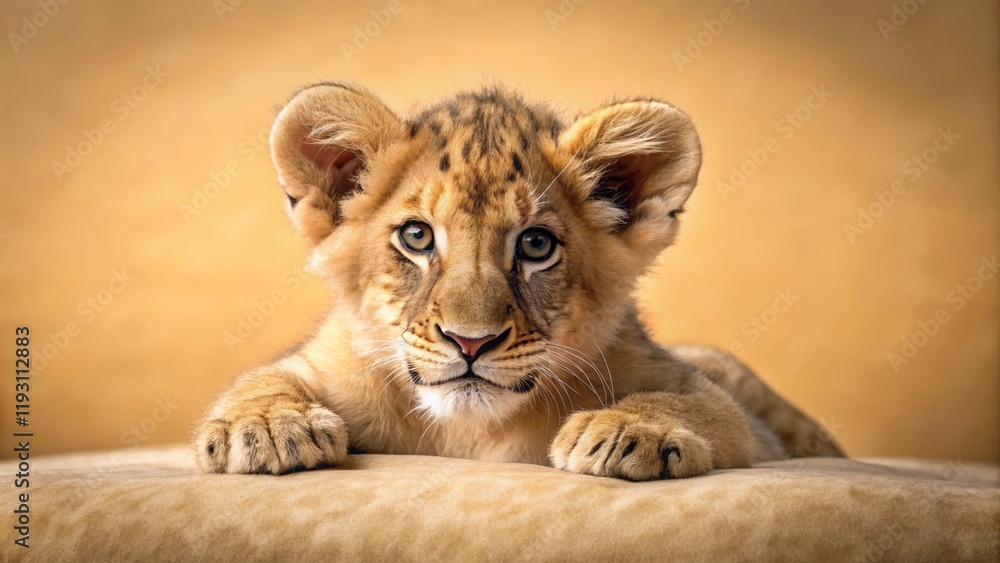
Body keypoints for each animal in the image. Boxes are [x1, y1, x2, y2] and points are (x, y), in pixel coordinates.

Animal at [193, 83, 844, 480]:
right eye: (417, 237)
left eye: (535, 245)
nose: (470, 342)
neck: (469, 434)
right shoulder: (329, 364)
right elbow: (265, 377)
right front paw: (265, 428)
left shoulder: (725, 409)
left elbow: (697, 404)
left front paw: (625, 431)